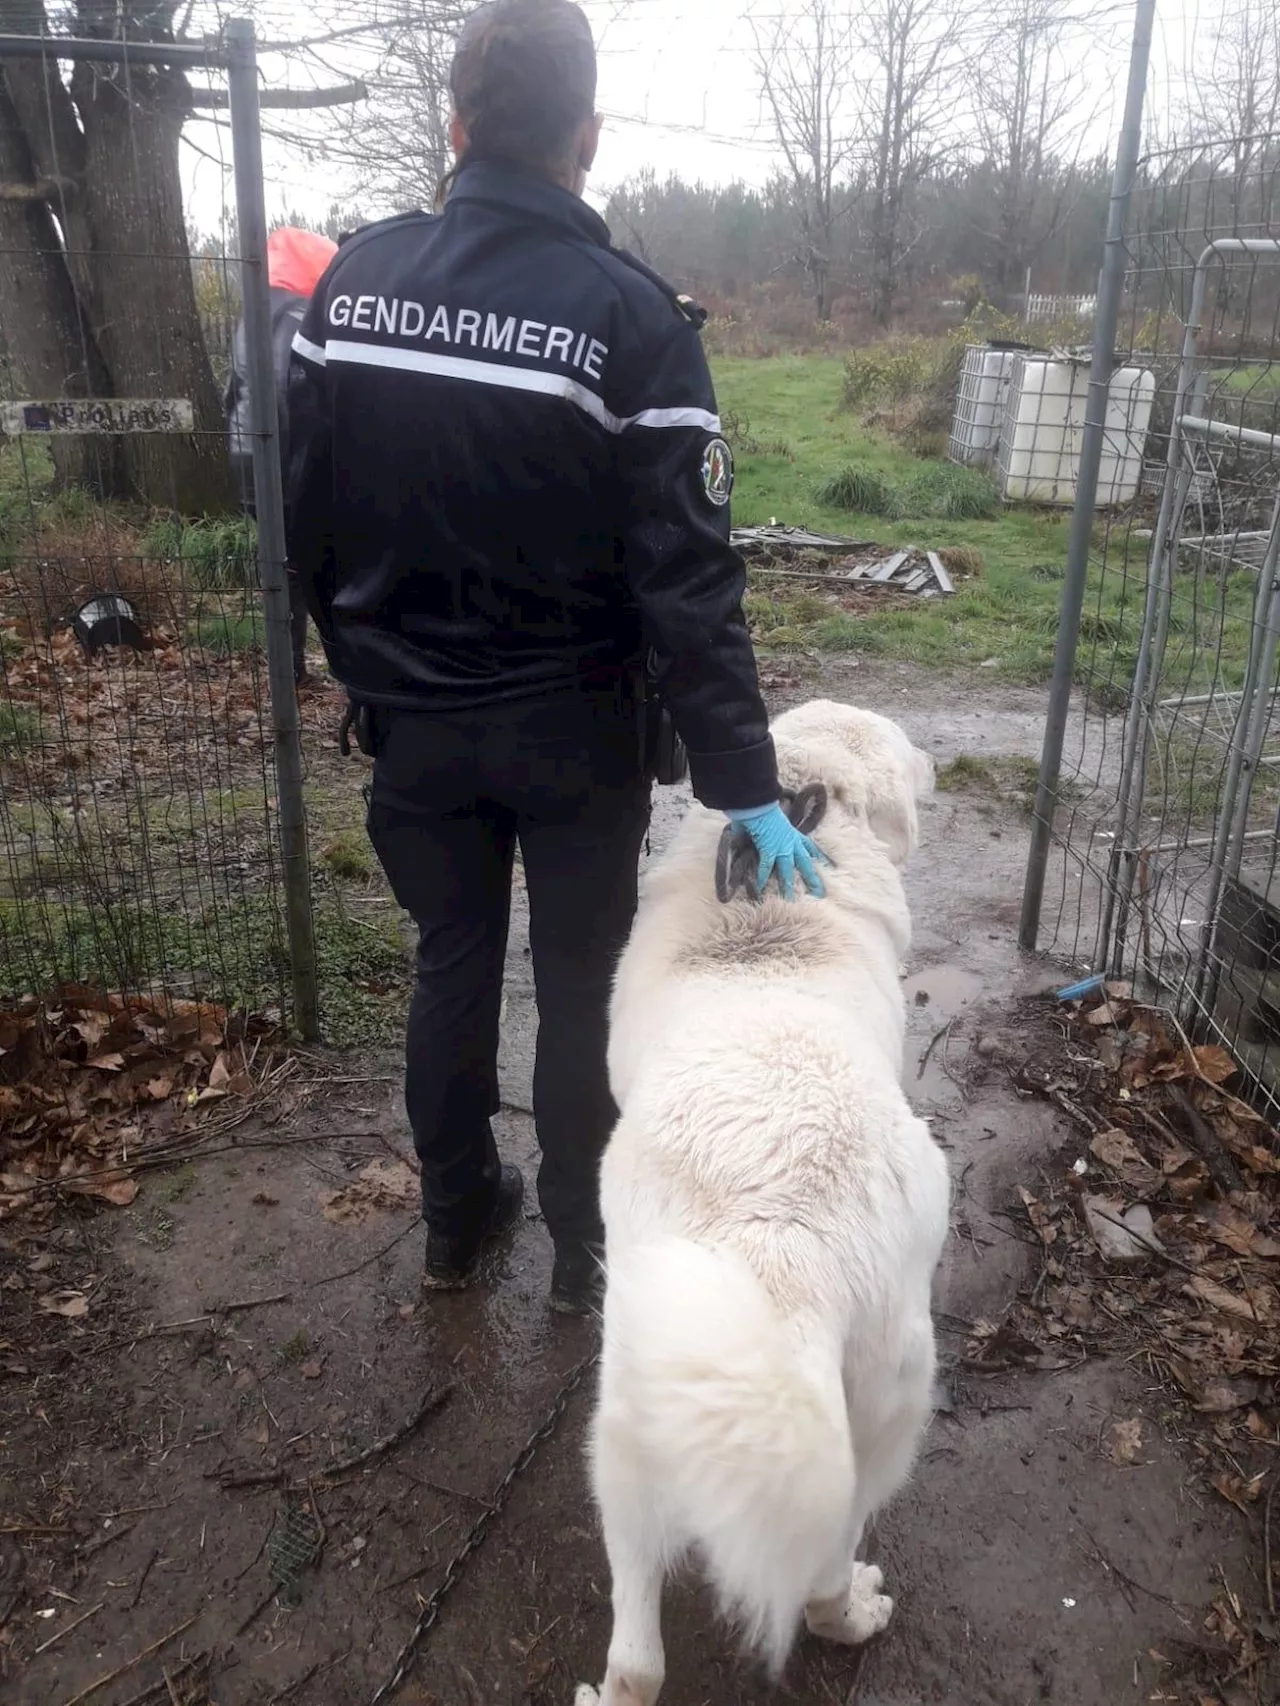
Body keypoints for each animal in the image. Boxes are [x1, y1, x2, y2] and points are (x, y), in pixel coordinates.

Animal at [580, 699, 955, 1699]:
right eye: (904, 745)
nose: (935, 762)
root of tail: (781, 1254)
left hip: (629, 1433)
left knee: (637, 1658)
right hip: (885, 1417)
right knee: (821, 1566)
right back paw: (854, 1610)